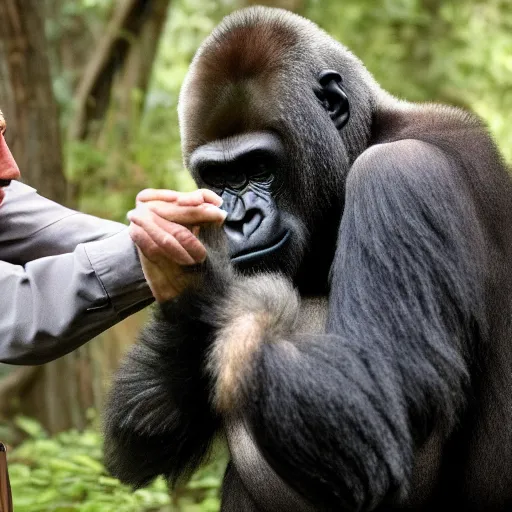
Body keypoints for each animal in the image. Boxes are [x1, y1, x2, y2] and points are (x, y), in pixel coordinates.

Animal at [102, 5, 512, 512]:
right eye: (217, 177)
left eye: (259, 167)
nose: (238, 221)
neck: (369, 133)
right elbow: (143, 436)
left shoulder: (403, 174)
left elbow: (373, 411)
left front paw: (194, 274)